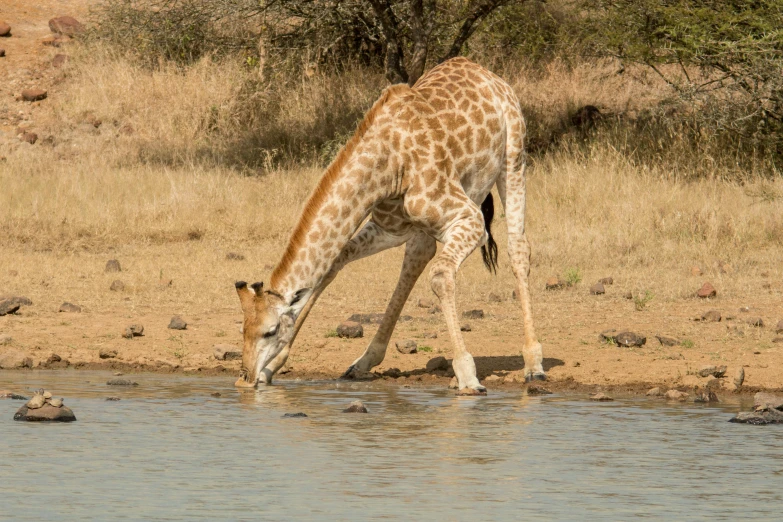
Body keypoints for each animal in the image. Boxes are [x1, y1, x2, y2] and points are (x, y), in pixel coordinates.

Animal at [234, 57, 544, 392]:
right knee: (416, 258)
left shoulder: (470, 218)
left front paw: (468, 376)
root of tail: (486, 73)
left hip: (513, 160)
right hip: (437, 214)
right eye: (243, 329)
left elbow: (440, 276)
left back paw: (533, 364)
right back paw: (364, 361)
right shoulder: (389, 227)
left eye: (269, 330)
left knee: (518, 248)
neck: (388, 165)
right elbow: (334, 263)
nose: (245, 377)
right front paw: (273, 367)